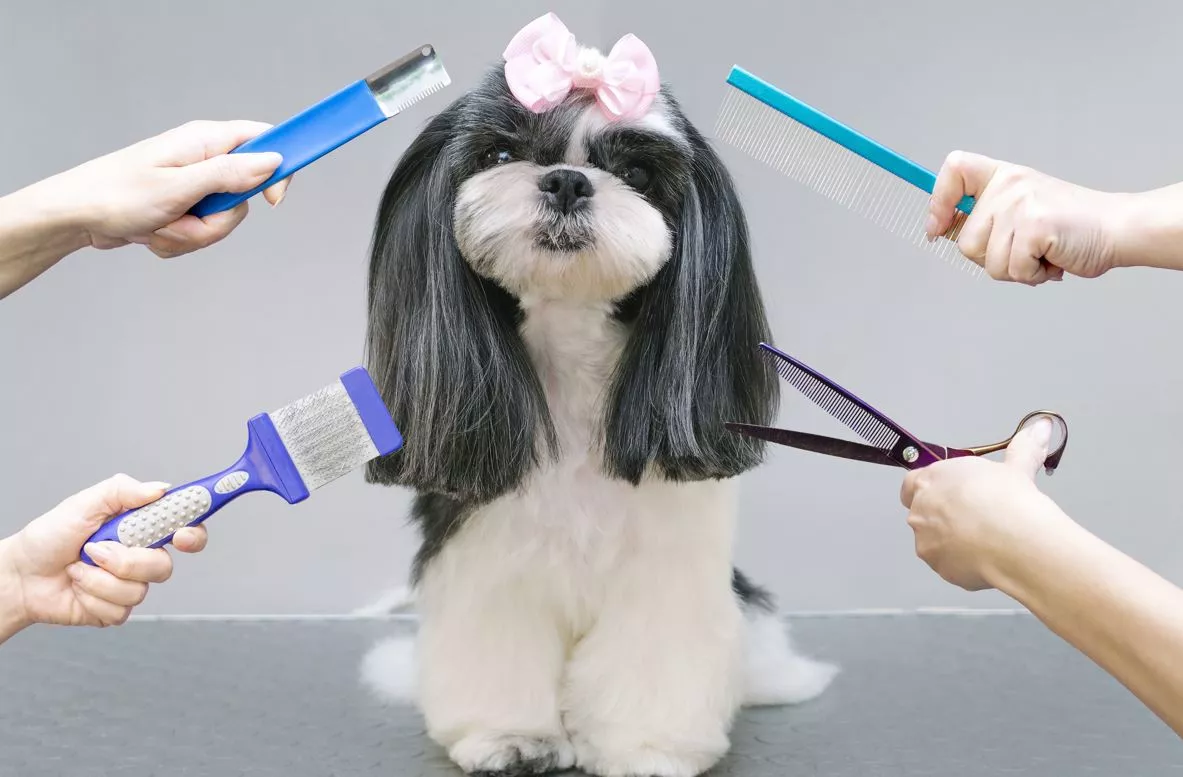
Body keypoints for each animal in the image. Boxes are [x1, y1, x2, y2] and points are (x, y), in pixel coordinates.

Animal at [354, 13, 837, 775]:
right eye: (498, 152)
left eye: (636, 173)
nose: (567, 182)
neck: (571, 358)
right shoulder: (486, 559)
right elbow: (497, 652)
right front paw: (509, 737)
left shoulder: (666, 568)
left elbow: (653, 664)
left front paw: (647, 747)